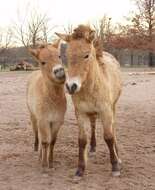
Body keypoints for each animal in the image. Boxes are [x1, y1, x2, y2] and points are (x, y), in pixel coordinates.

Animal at [55, 24, 122, 177]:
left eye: (86, 55)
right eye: (65, 56)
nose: (71, 86)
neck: (91, 87)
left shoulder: (106, 111)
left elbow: (108, 136)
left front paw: (115, 166)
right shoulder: (80, 113)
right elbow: (82, 140)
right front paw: (80, 169)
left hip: (113, 107)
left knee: (113, 128)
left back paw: (117, 154)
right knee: (92, 124)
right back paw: (92, 148)